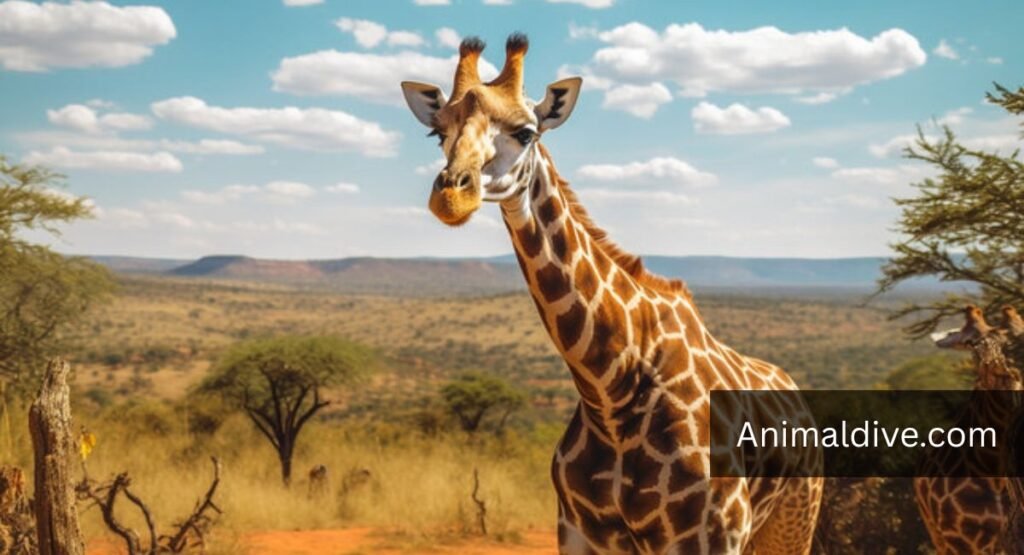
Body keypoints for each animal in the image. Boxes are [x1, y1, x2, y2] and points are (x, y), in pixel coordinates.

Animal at [400, 33, 823, 554]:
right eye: (437, 133)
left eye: (526, 132)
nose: (451, 196)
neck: (610, 388)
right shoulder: (578, 533)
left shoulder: (710, 536)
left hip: (791, 523)